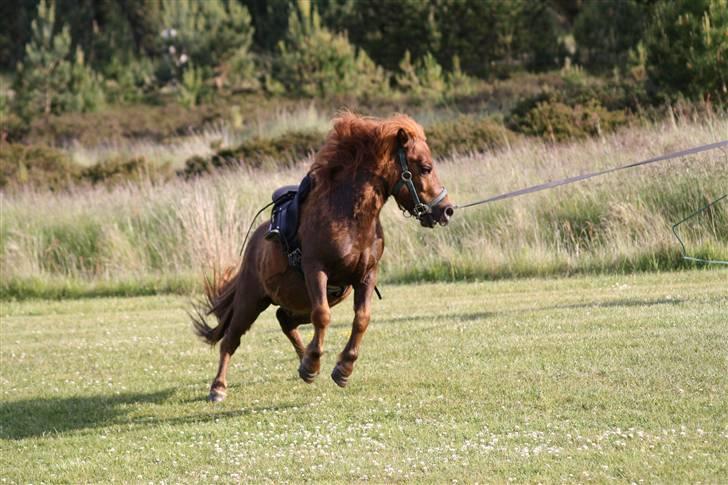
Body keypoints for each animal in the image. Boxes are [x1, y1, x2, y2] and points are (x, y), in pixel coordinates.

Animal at [193, 113, 456, 400]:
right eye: (426, 167)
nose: (446, 210)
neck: (351, 218)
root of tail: (256, 240)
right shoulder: (316, 270)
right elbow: (323, 316)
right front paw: (315, 365)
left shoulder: (366, 276)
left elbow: (361, 318)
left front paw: (342, 368)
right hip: (251, 300)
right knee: (232, 338)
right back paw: (219, 387)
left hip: (316, 297)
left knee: (284, 319)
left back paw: (303, 360)